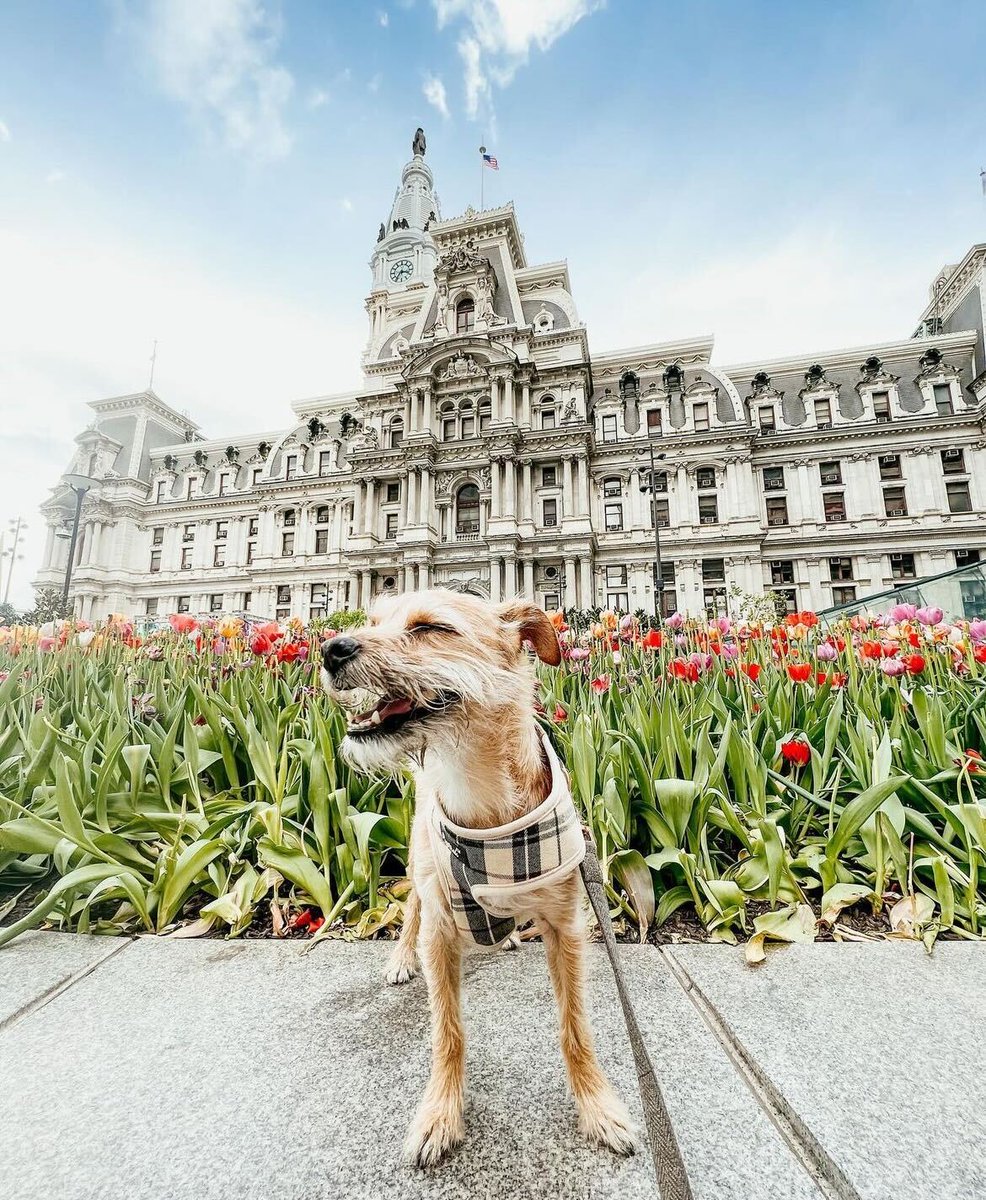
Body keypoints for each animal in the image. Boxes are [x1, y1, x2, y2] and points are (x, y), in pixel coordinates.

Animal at [321, 590, 638, 1171]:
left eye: (431, 628)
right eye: (373, 620)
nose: (332, 647)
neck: (481, 800)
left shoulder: (567, 927)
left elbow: (575, 1027)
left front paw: (598, 1107)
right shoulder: (441, 931)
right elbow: (447, 1033)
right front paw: (441, 1114)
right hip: (416, 861)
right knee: (410, 913)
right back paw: (401, 959)